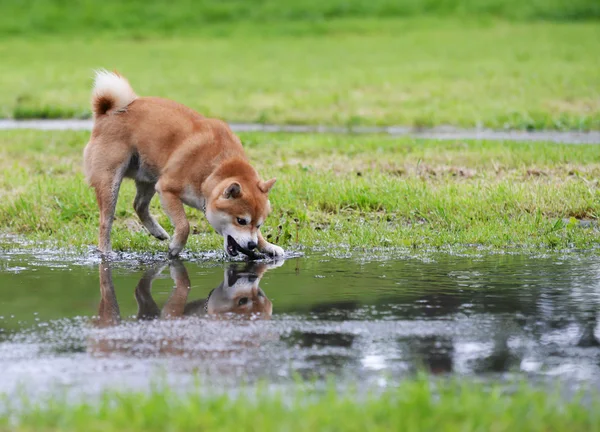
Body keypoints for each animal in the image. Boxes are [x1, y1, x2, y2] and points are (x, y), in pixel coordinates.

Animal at [82, 69, 286, 258]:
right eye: (241, 221)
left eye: (258, 224)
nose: (251, 245)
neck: (214, 170)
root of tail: (108, 111)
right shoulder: (167, 189)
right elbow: (184, 225)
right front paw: (176, 247)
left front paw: (268, 246)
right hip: (111, 182)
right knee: (106, 221)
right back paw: (106, 252)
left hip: (149, 177)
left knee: (139, 205)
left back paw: (158, 231)